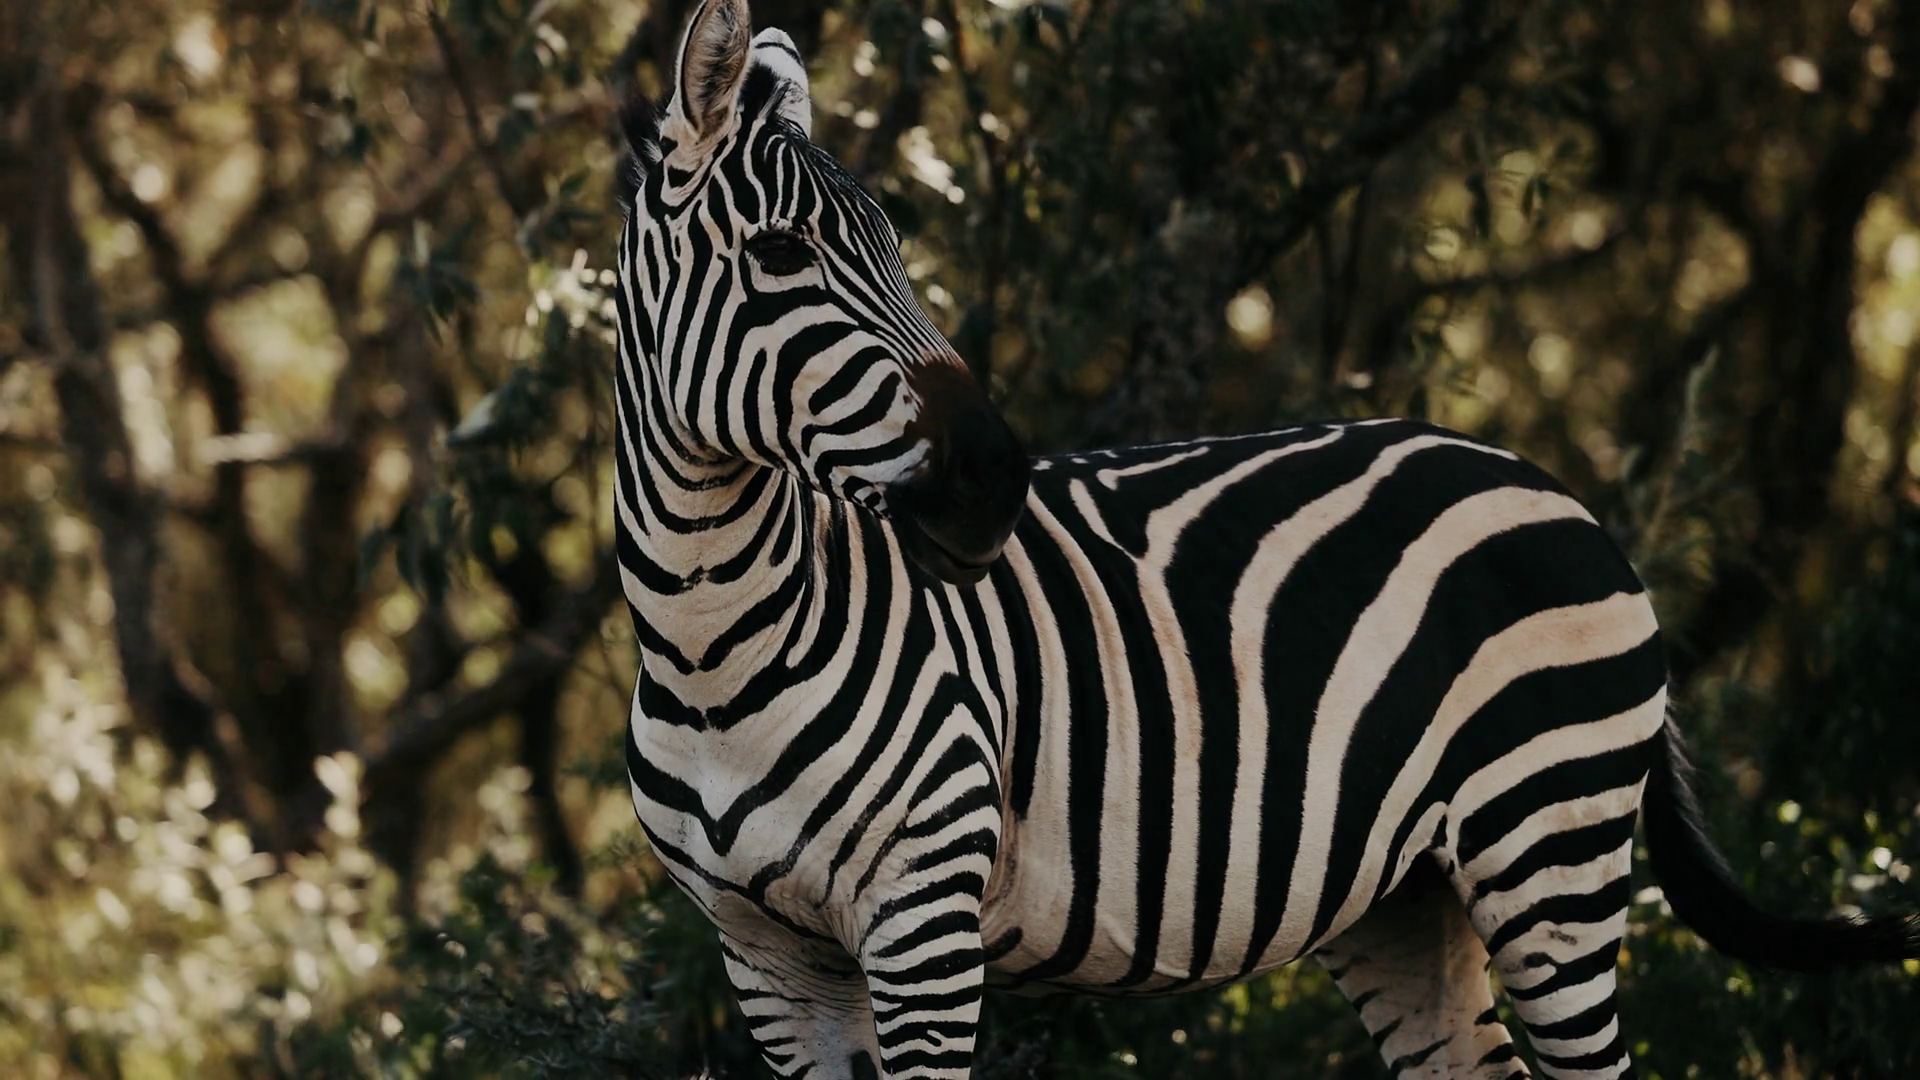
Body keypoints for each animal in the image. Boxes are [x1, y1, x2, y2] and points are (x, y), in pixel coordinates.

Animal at [609, 1, 1920, 1077]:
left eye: (895, 244)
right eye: (782, 254)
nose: (997, 479)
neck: (712, 643)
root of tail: (1557, 493)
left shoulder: (923, 915)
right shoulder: (768, 962)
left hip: (1549, 846)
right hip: (1410, 899)